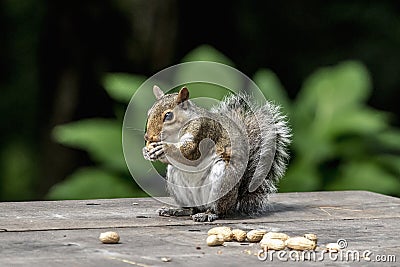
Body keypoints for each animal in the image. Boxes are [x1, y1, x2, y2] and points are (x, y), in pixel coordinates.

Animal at [142, 85, 290, 222]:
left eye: (168, 115)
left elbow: (190, 154)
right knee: (191, 209)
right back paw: (177, 210)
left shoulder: (203, 131)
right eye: (148, 113)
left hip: (222, 179)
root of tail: (235, 200)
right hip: (176, 178)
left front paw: (163, 148)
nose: (148, 137)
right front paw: (146, 152)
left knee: (218, 210)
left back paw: (207, 214)